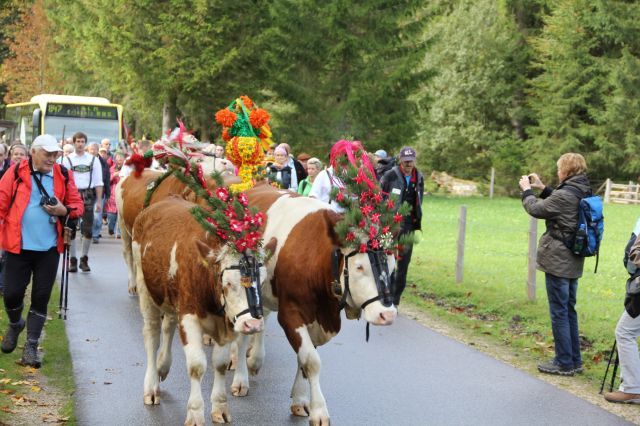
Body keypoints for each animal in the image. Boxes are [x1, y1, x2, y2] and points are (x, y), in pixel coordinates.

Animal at [131, 196, 265, 425]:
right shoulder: (189, 317)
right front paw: (195, 413)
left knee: (168, 326)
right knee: (152, 335)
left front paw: (220, 407)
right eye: (228, 283)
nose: (253, 324)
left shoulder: (226, 323)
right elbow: (196, 366)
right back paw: (151, 388)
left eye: (262, 281)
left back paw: (163, 366)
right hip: (146, 290)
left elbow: (220, 364)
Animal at [234, 182, 398, 426]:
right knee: (243, 333)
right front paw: (319, 410)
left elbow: (303, 361)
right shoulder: (291, 314)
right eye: (359, 267)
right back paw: (240, 378)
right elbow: (311, 361)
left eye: (393, 265)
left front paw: (301, 401)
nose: (387, 315)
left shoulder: (317, 319)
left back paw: (255, 360)